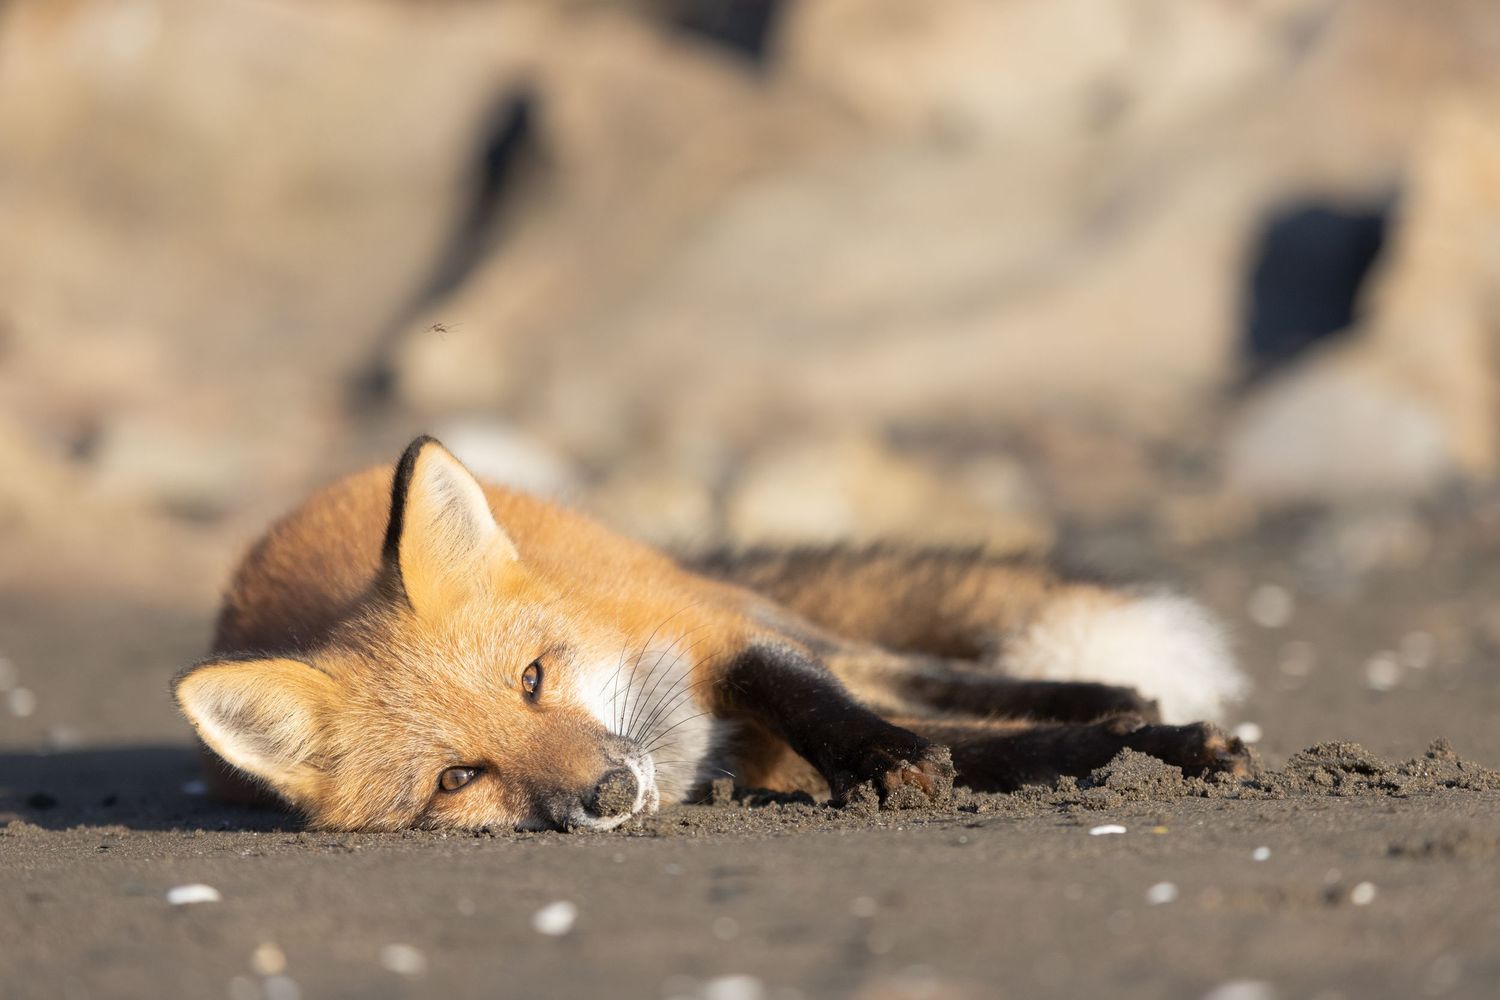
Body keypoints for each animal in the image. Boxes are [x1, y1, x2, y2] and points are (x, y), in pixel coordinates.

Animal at [173, 435, 1253, 832]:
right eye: (457, 778)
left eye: (532, 678)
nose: (609, 792)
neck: (685, 748)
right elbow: (999, 754)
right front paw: (1132, 750)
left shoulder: (710, 637)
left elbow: (824, 700)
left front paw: (885, 761)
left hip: (731, 602)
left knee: (904, 667)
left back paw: (1115, 695)